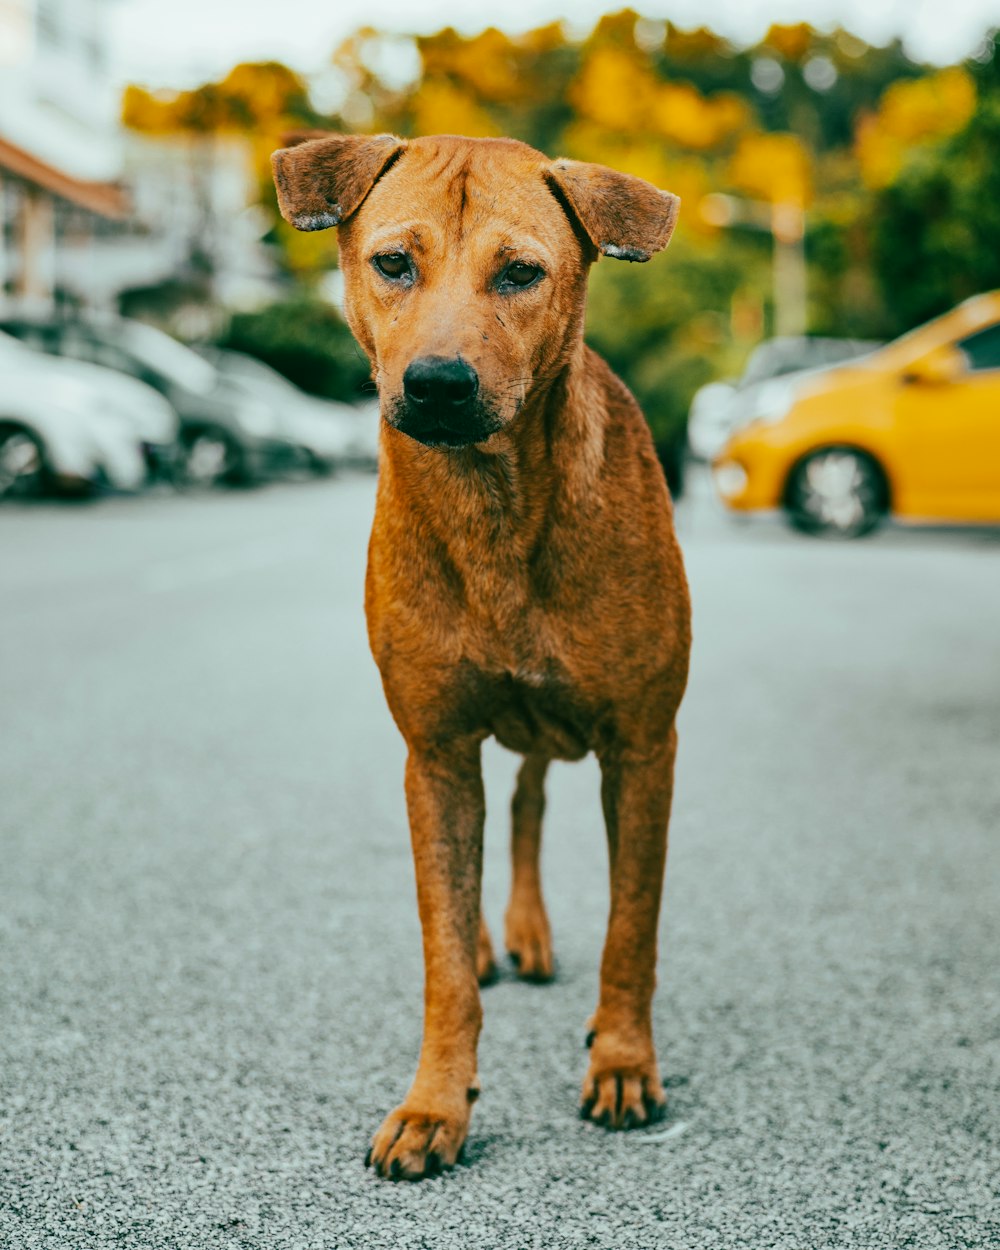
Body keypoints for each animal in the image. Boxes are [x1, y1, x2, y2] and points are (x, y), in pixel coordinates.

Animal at [273, 134, 695, 1180]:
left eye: (520, 273)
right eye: (392, 263)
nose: (437, 383)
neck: (493, 505)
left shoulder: (644, 747)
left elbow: (633, 927)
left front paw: (623, 1061)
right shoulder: (435, 754)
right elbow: (443, 954)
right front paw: (437, 1101)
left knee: (534, 799)